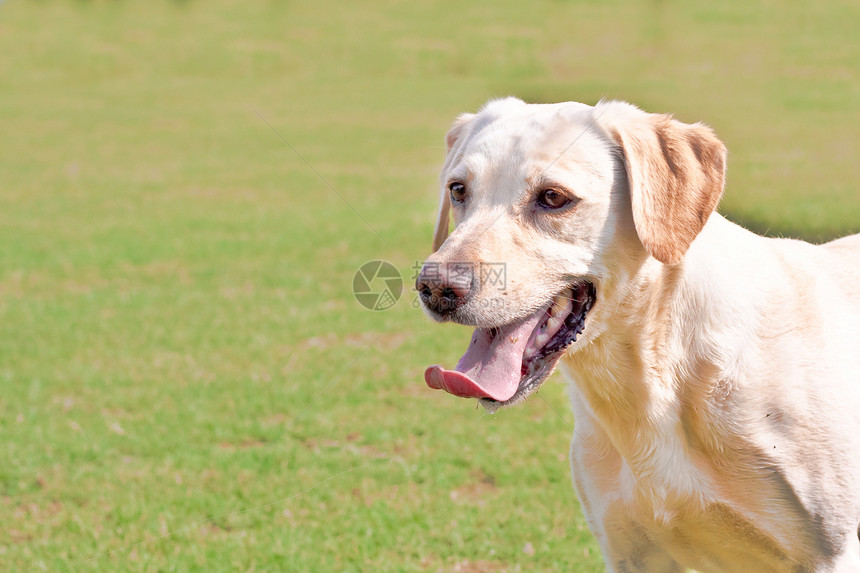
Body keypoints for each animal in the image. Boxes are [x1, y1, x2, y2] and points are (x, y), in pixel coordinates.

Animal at [414, 96, 860, 568]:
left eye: (553, 197)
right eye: (458, 190)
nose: (435, 288)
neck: (655, 384)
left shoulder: (830, 554)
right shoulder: (630, 552)